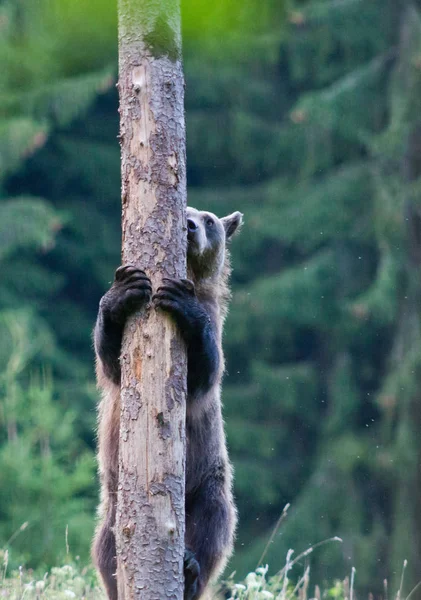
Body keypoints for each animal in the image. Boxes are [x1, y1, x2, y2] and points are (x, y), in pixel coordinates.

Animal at [93, 206, 241, 600]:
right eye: (186, 210)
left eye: (209, 220)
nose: (188, 225)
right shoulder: (116, 368)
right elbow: (110, 359)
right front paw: (124, 291)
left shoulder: (213, 328)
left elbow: (205, 371)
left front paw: (181, 302)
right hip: (113, 502)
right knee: (106, 547)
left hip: (207, 478)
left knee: (215, 526)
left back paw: (190, 570)